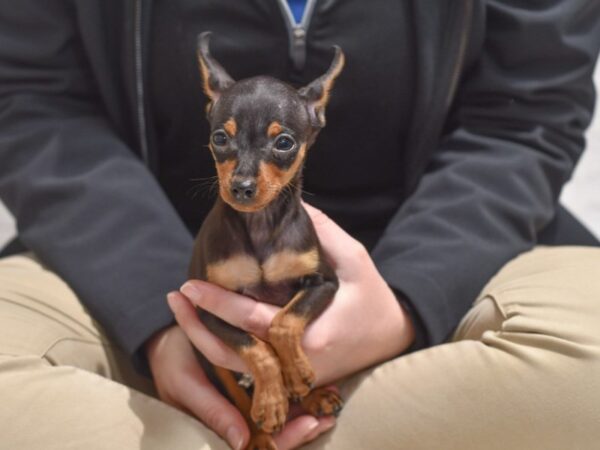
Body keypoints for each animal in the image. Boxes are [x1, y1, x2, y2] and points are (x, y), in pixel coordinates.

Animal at [189, 32, 346, 450]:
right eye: (220, 138)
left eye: (285, 143)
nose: (241, 187)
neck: (259, 226)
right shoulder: (208, 308)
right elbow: (256, 347)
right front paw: (272, 401)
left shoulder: (325, 282)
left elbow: (283, 322)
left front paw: (297, 376)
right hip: (214, 365)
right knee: (236, 394)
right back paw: (259, 434)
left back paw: (312, 394)